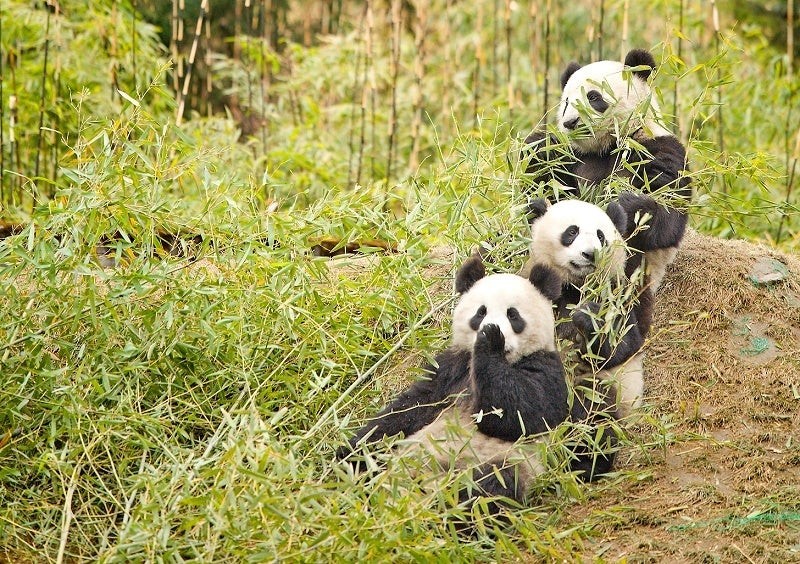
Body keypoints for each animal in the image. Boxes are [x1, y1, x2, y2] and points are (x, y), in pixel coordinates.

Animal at [337, 255, 615, 515]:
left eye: (513, 315)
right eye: (480, 312)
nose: (491, 327)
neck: (506, 360)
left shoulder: (546, 369)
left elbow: (524, 413)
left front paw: (490, 341)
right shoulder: (452, 370)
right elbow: (409, 409)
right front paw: (351, 448)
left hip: (499, 463)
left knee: (488, 491)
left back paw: (451, 512)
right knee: (370, 463)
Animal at [522, 198, 652, 419]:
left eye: (601, 236)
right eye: (572, 231)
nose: (590, 254)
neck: (575, 284)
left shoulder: (615, 294)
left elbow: (623, 344)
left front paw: (588, 316)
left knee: (592, 400)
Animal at [523, 48, 691, 291]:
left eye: (593, 97)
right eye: (566, 103)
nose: (570, 122)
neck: (607, 146)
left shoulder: (657, 148)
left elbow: (667, 212)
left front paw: (627, 204)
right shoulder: (576, 158)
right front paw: (539, 150)